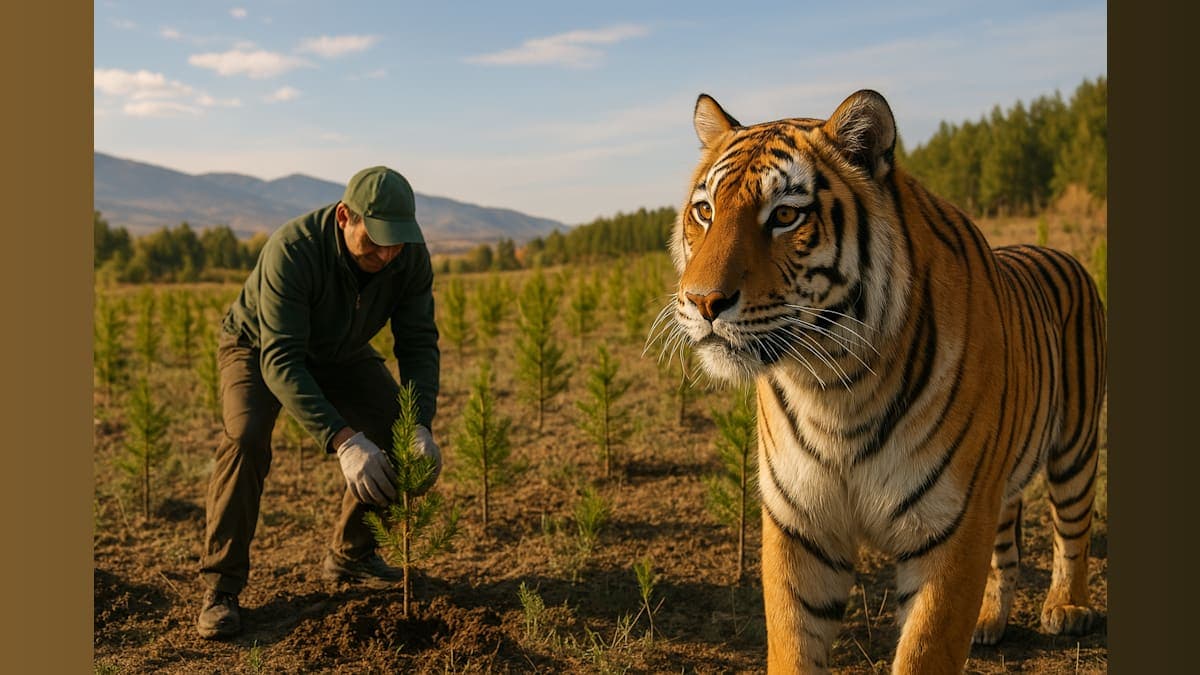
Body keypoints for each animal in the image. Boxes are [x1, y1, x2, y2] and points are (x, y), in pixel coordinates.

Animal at [663, 90, 1106, 674]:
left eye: (785, 215)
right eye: (705, 211)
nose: (701, 302)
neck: (834, 386)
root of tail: (1060, 252)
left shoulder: (952, 527)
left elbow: (925, 649)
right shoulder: (801, 525)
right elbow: (792, 644)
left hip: (1074, 448)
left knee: (1072, 529)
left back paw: (1068, 607)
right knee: (1008, 543)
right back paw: (990, 620)